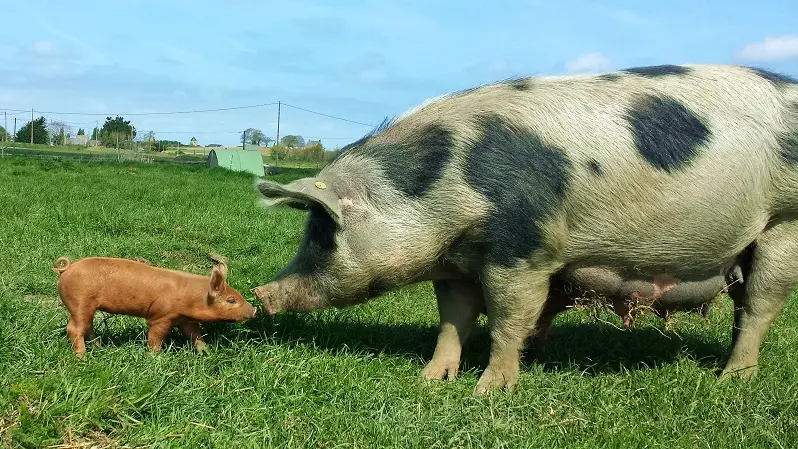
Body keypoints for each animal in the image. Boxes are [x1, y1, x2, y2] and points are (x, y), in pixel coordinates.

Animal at [253, 65, 796, 394]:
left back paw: (733, 381)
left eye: (321, 233)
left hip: (783, 224)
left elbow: (507, 321)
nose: (262, 292)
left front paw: (487, 391)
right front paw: (431, 380)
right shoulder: (454, 264)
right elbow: (453, 321)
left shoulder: (524, 250)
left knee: (760, 308)